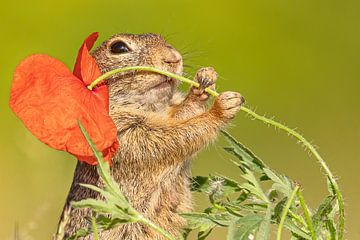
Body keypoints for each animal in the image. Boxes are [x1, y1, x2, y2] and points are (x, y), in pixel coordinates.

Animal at [57, 32, 245, 239]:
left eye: (159, 37)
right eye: (118, 48)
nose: (174, 58)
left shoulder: (165, 114)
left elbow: (181, 114)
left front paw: (204, 79)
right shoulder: (127, 134)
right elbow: (177, 136)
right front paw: (222, 107)